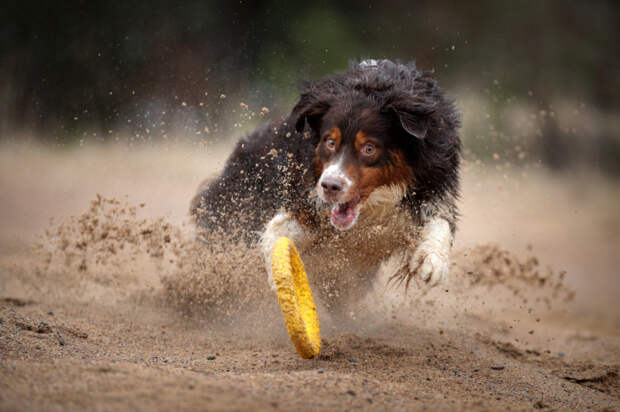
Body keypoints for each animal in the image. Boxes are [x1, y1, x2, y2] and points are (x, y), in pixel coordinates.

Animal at [193, 60, 460, 306]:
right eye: (329, 142)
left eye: (369, 148)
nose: (330, 186)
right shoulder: (308, 201)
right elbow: (278, 230)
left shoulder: (431, 185)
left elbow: (439, 221)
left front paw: (432, 262)